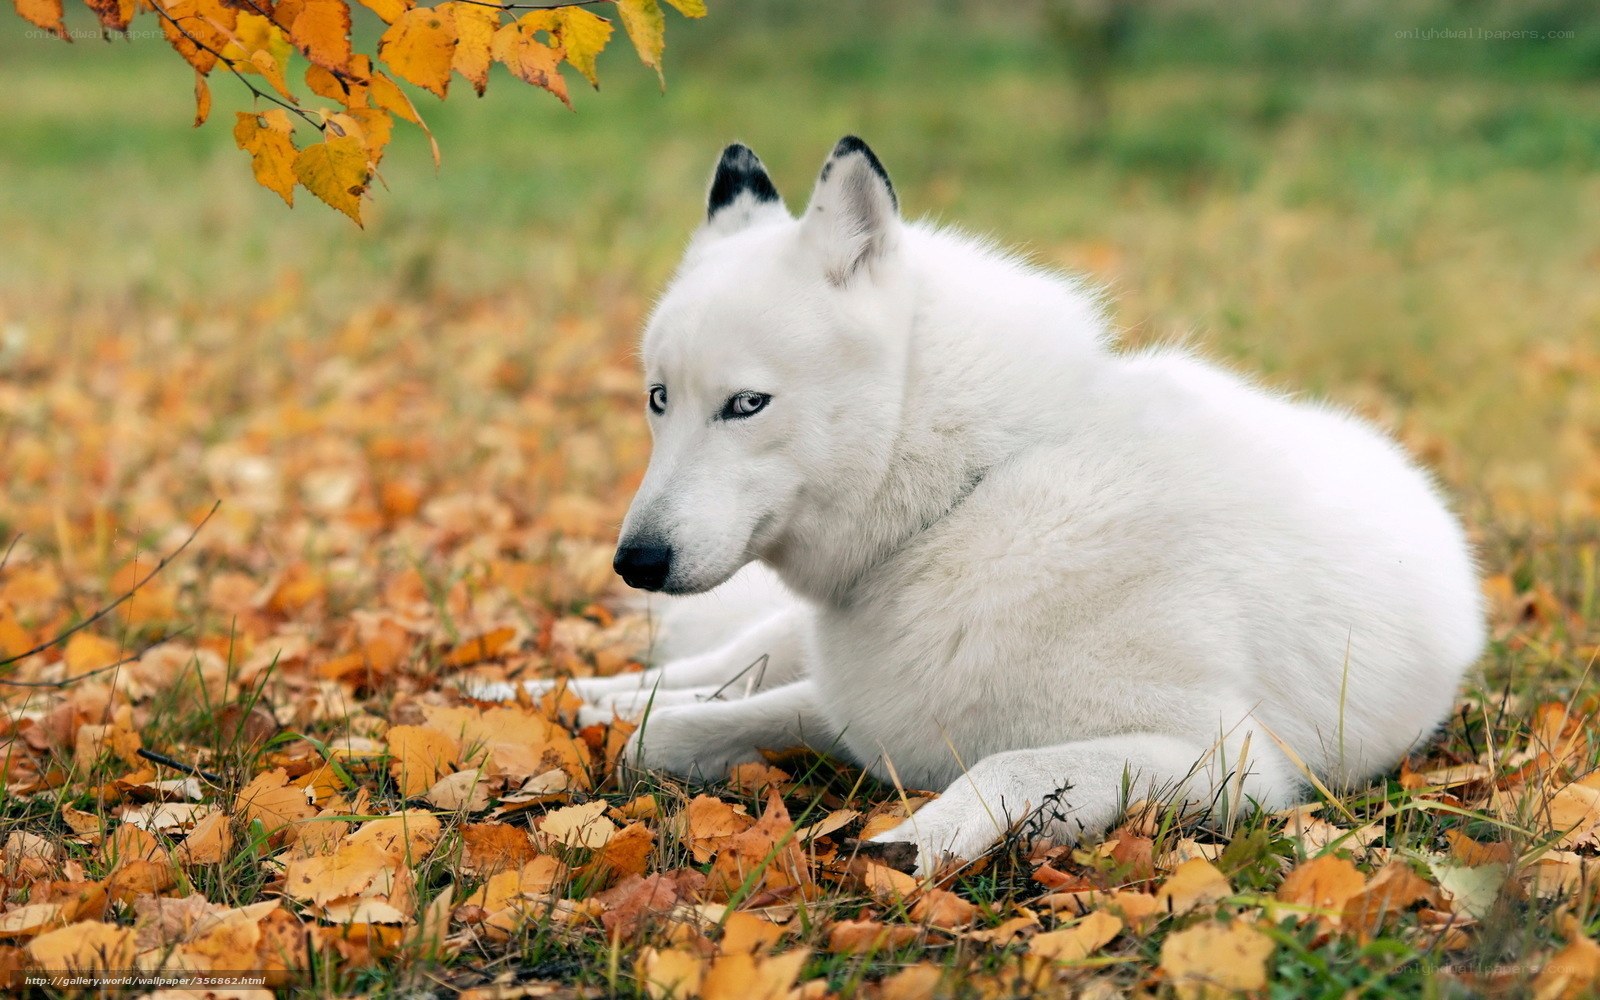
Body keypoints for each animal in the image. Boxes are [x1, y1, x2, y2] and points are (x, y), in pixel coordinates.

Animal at [518, 137, 1485, 875]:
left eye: (746, 405)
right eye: (659, 400)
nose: (634, 562)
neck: (969, 497)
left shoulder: (1222, 762)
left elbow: (1006, 769)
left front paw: (912, 841)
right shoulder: (855, 709)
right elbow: (661, 737)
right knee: (694, 673)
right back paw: (543, 695)